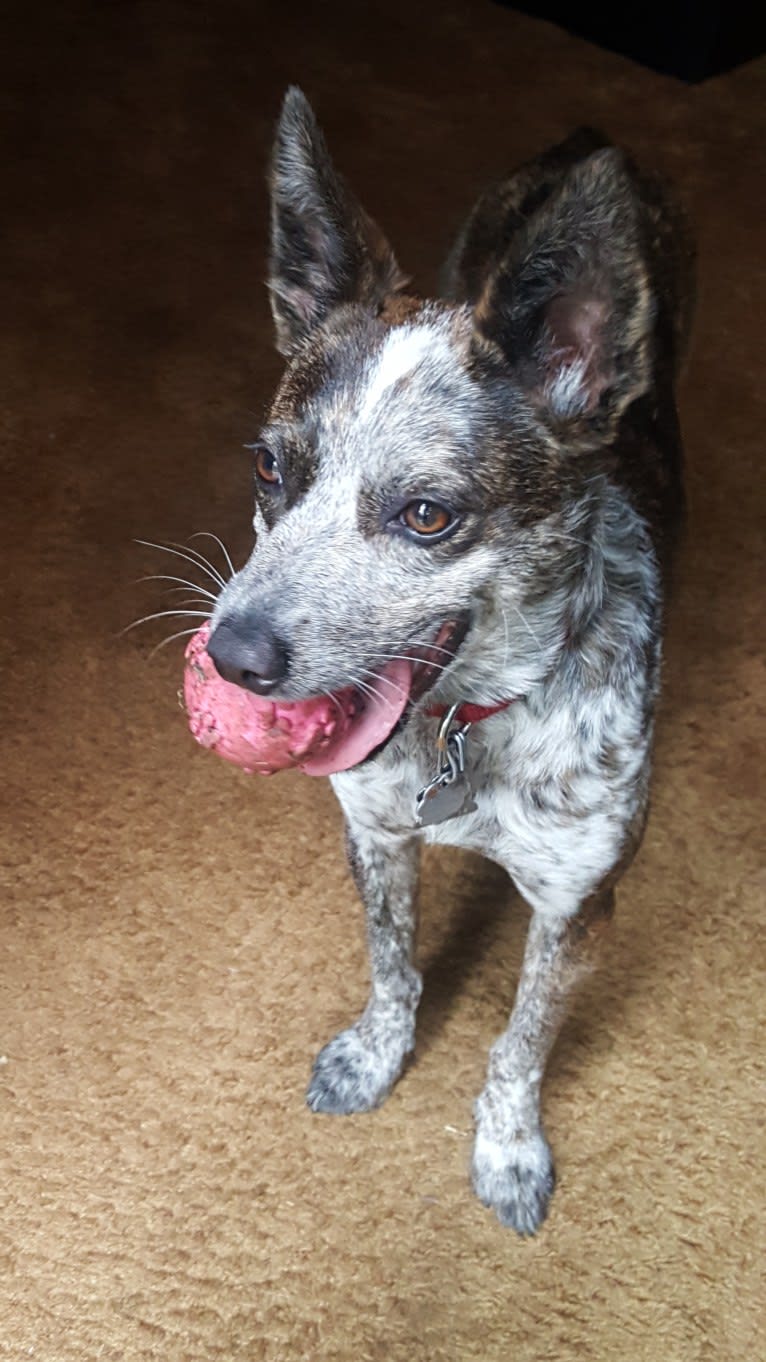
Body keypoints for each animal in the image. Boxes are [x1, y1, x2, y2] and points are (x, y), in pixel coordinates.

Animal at [203, 85, 692, 1236]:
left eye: (427, 515)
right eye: (269, 466)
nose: (228, 656)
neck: (470, 725)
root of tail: (592, 137)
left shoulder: (578, 905)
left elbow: (521, 1044)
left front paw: (508, 1151)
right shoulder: (376, 836)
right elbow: (391, 965)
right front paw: (375, 1059)